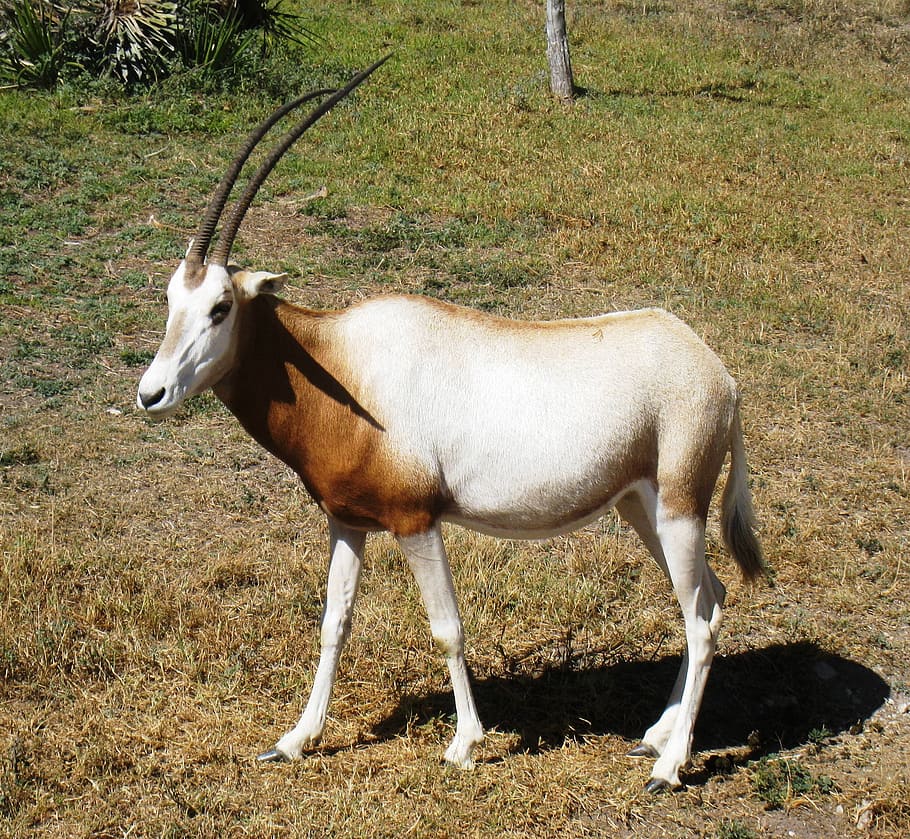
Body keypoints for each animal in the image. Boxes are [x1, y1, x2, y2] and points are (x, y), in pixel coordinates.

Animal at [136, 56, 766, 792]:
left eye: (221, 307)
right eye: (171, 298)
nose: (151, 394)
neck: (341, 365)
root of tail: (719, 374)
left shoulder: (416, 520)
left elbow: (447, 626)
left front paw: (465, 743)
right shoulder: (348, 520)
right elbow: (334, 621)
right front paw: (294, 740)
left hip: (680, 508)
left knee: (701, 618)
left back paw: (669, 766)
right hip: (643, 506)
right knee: (705, 599)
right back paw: (656, 737)